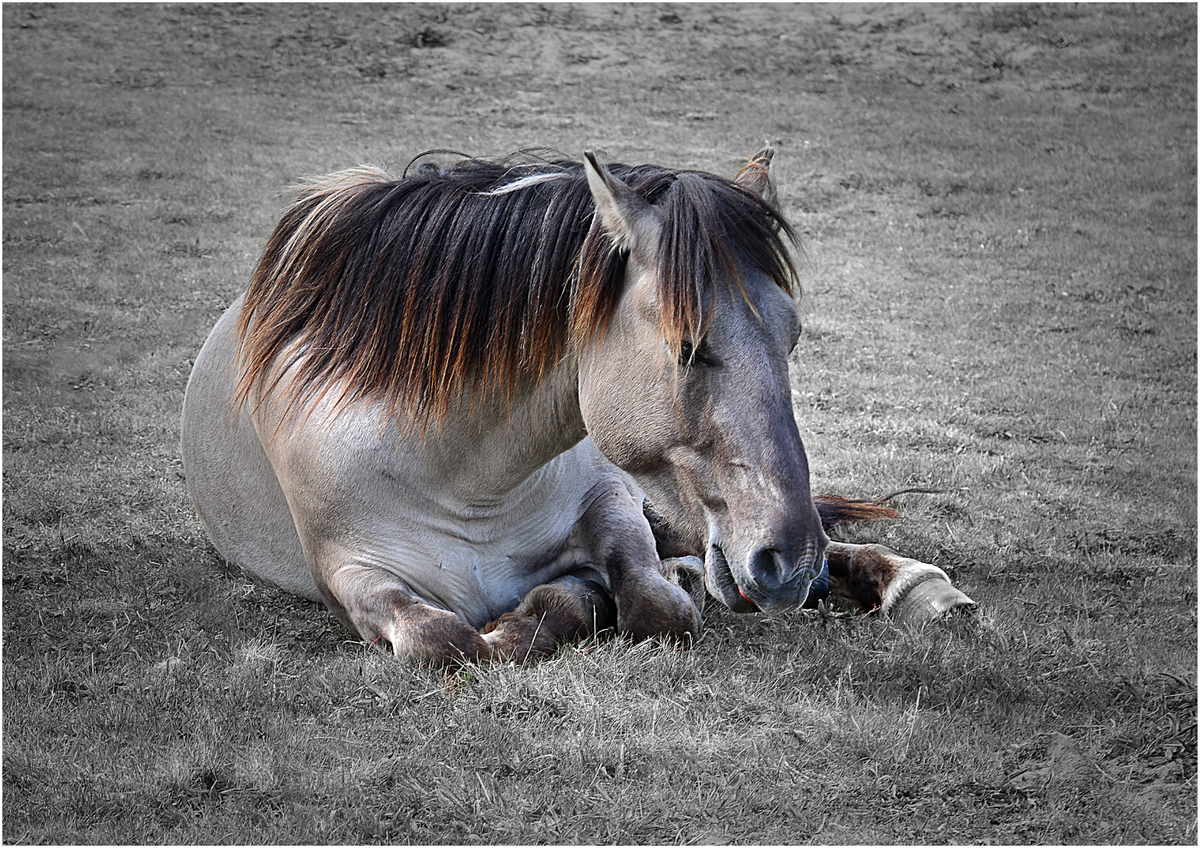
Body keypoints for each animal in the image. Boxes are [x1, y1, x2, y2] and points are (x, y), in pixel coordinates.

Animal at [180, 149, 973, 665]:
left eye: (794, 336)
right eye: (687, 346)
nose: (788, 561)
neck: (461, 472)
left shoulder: (614, 504)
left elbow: (647, 604)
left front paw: (556, 610)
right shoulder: (349, 572)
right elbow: (443, 642)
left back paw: (915, 587)